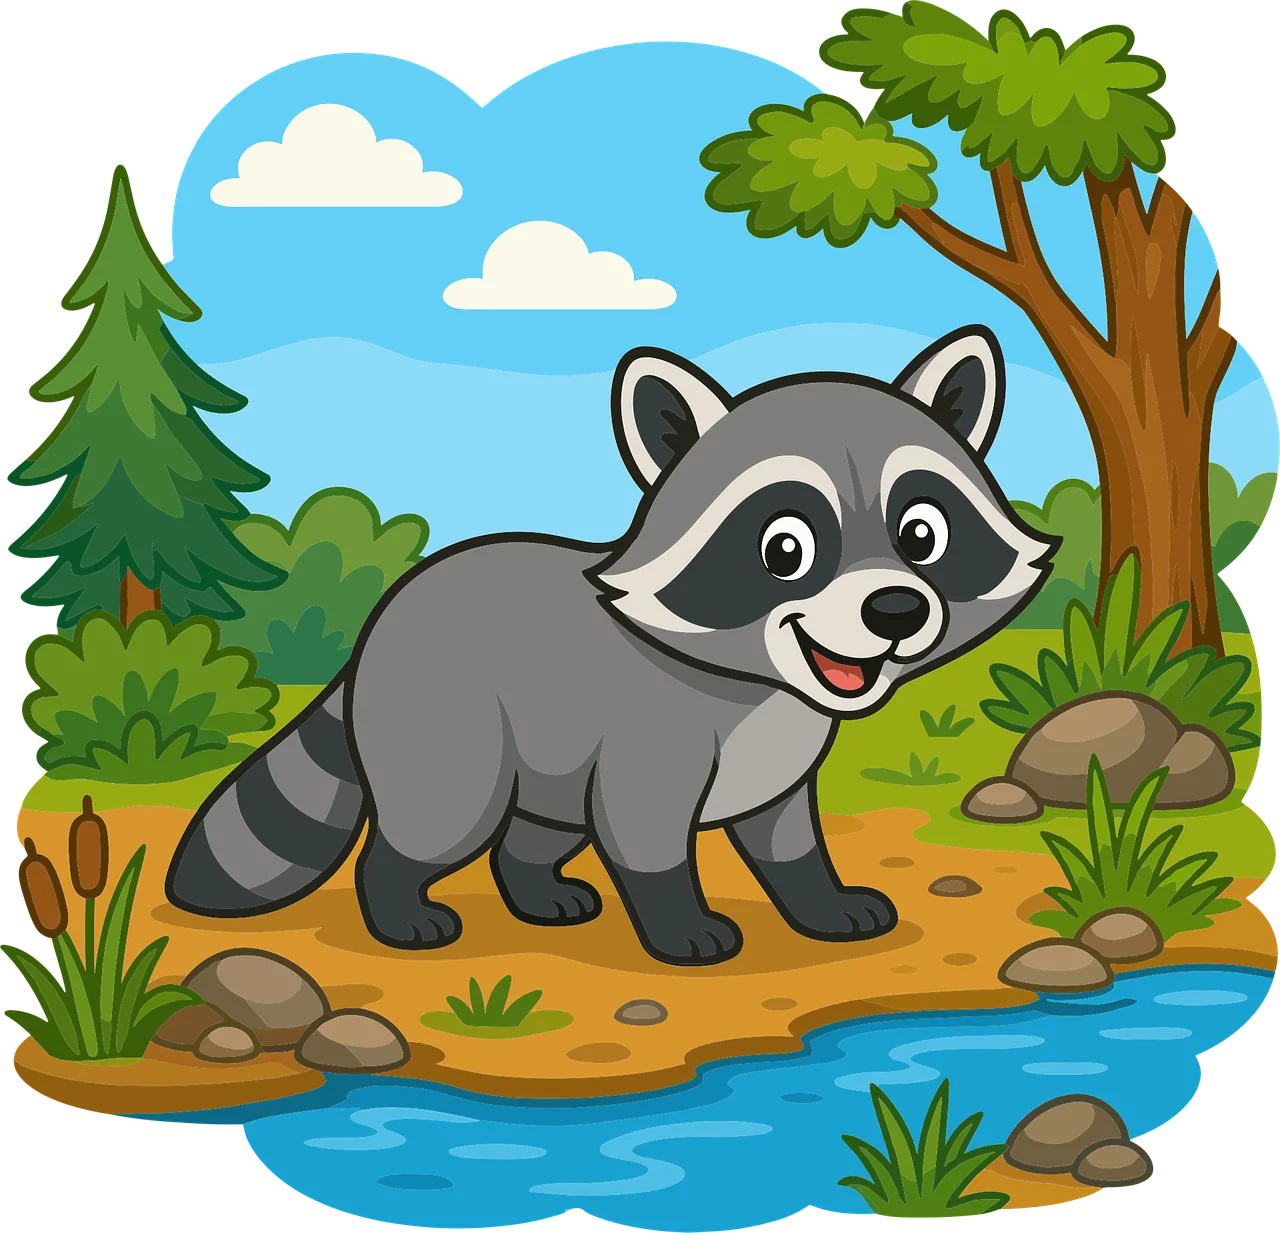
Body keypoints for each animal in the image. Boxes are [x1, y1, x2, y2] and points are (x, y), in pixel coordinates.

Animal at [166, 326, 1057, 967]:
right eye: (786, 549)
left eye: (923, 535)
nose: (896, 609)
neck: (766, 682)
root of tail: (386, 618)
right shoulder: (648, 737)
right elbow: (647, 838)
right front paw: (680, 922)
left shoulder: (779, 761)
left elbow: (786, 840)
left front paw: (821, 901)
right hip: (452, 731)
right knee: (434, 824)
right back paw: (397, 905)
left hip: (546, 757)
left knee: (536, 831)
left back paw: (535, 889)